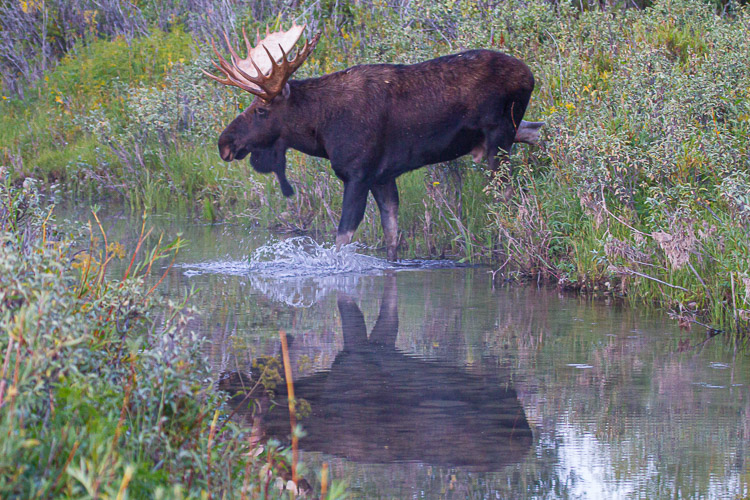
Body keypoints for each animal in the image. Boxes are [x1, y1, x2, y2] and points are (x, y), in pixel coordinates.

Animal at [204, 23, 543, 260]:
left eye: (260, 110)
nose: (225, 142)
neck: (321, 132)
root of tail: (531, 76)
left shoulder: (359, 174)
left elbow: (342, 240)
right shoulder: (383, 177)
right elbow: (391, 238)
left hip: (499, 138)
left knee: (507, 193)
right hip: (506, 133)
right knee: (538, 129)